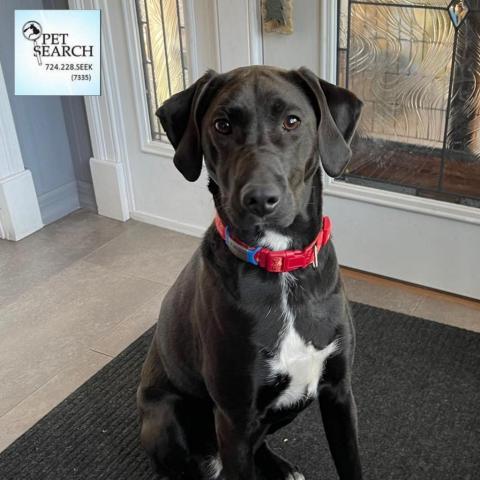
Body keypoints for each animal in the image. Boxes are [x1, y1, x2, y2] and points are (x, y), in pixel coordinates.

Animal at [139, 64, 364, 480]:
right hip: (165, 420)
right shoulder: (234, 418)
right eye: (222, 125)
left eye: (292, 121)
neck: (280, 269)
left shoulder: (339, 392)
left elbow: (351, 464)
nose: (259, 199)